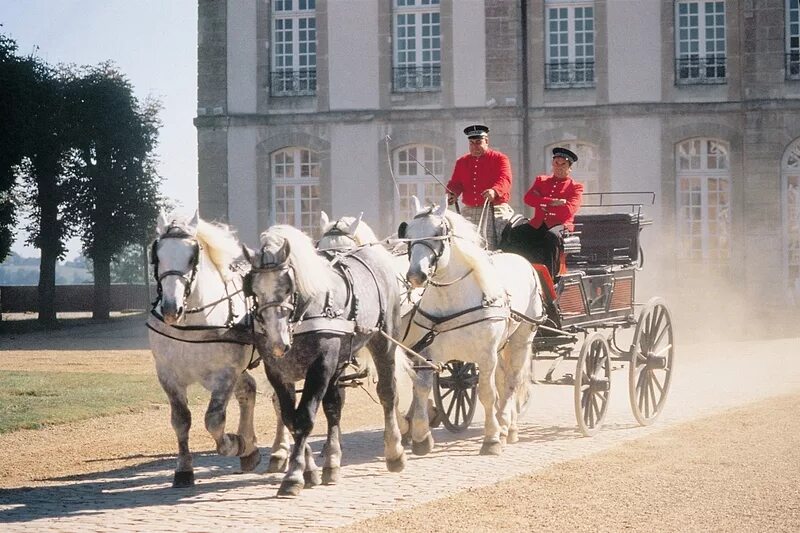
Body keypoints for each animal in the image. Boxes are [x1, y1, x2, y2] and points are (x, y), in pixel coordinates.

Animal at [148, 212, 290, 486]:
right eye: (157, 255)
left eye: (192, 257)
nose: (171, 308)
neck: (190, 324)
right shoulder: (168, 375)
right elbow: (181, 421)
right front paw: (184, 469)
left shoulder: (224, 374)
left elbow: (213, 420)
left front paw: (237, 443)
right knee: (249, 390)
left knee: (280, 400)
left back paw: (279, 451)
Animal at [396, 197, 540, 456]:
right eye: (408, 234)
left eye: (438, 233)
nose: (415, 276)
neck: (452, 299)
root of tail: (521, 259)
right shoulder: (426, 353)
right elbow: (421, 388)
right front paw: (421, 436)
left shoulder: (486, 355)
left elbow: (487, 393)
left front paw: (491, 439)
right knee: (503, 380)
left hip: (521, 340)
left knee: (511, 381)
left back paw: (507, 426)